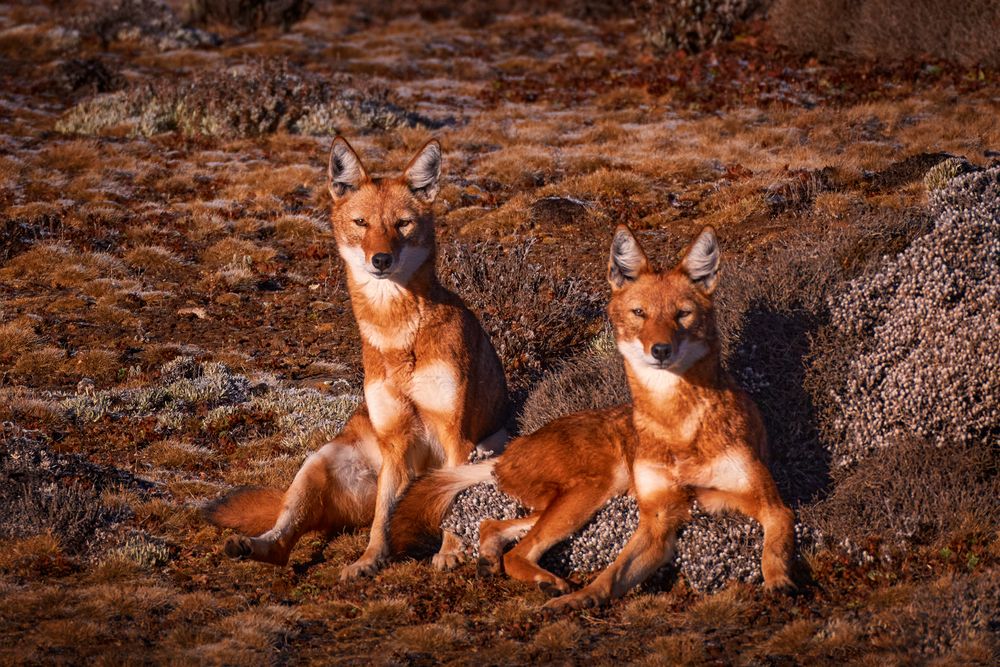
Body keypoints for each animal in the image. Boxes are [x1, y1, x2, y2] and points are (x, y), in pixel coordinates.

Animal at [207, 137, 512, 580]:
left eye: (402, 224)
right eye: (361, 223)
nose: (380, 260)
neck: (398, 338)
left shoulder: (457, 436)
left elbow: (453, 504)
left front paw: (451, 553)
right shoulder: (396, 442)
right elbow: (382, 522)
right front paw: (369, 559)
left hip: (494, 449)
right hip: (318, 464)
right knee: (287, 539)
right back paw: (251, 547)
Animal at [390, 224, 796, 604]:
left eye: (682, 314)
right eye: (639, 313)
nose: (660, 350)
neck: (677, 424)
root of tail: (512, 448)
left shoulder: (770, 505)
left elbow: (774, 548)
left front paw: (780, 583)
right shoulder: (658, 519)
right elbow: (612, 574)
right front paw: (578, 599)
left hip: (577, 499)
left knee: (494, 527)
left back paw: (491, 561)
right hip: (593, 490)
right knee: (518, 549)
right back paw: (544, 582)